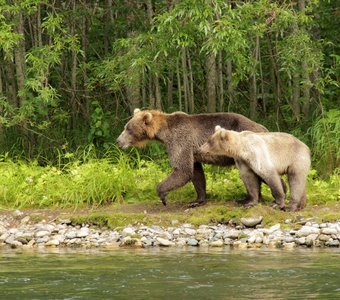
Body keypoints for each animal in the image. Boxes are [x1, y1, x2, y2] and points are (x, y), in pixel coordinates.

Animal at [117, 109, 268, 207]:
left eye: (128, 129)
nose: (118, 141)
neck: (163, 133)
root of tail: (263, 127)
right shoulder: (192, 151)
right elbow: (196, 173)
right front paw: (196, 200)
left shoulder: (180, 140)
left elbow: (182, 170)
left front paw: (163, 196)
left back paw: (250, 200)